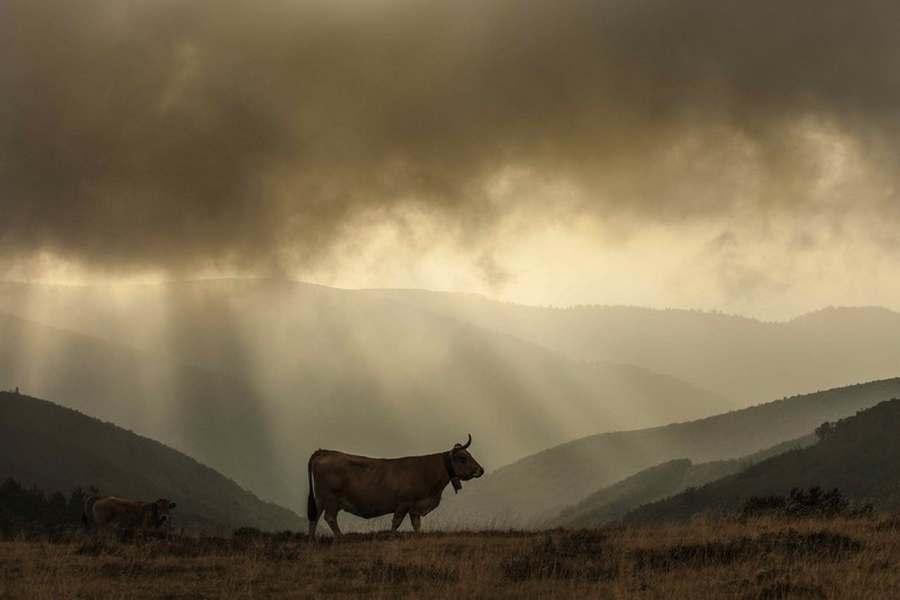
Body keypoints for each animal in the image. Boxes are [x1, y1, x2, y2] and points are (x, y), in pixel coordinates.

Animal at [308, 434, 486, 536]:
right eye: (463, 457)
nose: (481, 470)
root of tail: (324, 451)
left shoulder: (415, 506)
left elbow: (416, 525)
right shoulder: (404, 503)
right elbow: (396, 522)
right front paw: (391, 537)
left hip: (320, 500)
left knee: (314, 518)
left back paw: (312, 540)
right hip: (330, 499)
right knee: (329, 518)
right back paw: (340, 537)